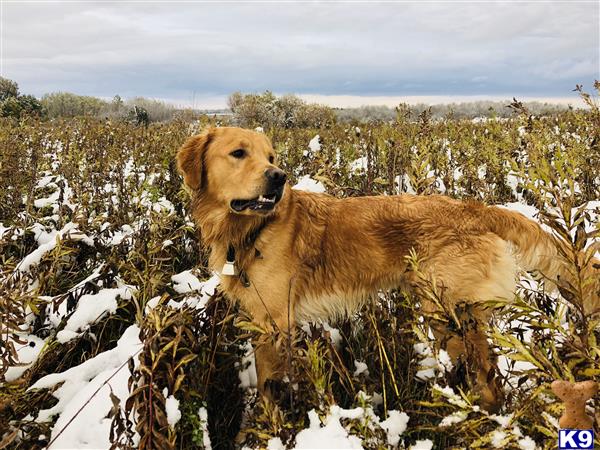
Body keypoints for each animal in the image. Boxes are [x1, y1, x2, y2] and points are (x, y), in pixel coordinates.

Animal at [178, 125, 600, 412]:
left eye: (270, 157)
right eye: (238, 153)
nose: (278, 177)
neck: (250, 230)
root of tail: (476, 209)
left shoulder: (274, 323)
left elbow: (270, 387)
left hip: (448, 311)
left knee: (486, 377)